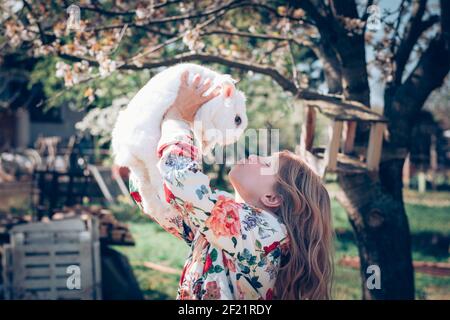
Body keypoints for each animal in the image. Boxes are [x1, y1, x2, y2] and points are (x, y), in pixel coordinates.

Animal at [110, 63, 248, 221]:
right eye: (237, 119)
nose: (233, 138)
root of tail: (127, 149)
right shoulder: (203, 114)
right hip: (152, 159)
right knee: (159, 185)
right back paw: (169, 209)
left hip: (141, 168)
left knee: (145, 188)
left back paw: (160, 211)